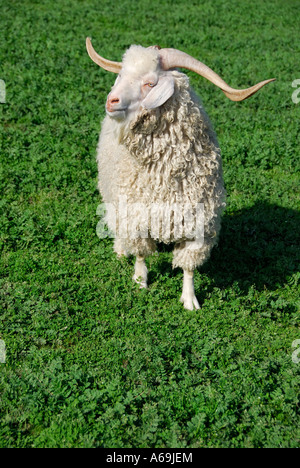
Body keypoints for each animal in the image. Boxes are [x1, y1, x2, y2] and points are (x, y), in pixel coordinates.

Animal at [86, 39, 274, 310]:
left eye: (150, 83)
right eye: (121, 75)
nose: (112, 101)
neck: (164, 175)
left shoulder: (198, 220)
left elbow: (189, 266)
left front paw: (190, 299)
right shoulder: (136, 213)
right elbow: (141, 253)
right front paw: (140, 281)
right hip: (111, 192)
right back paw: (120, 248)